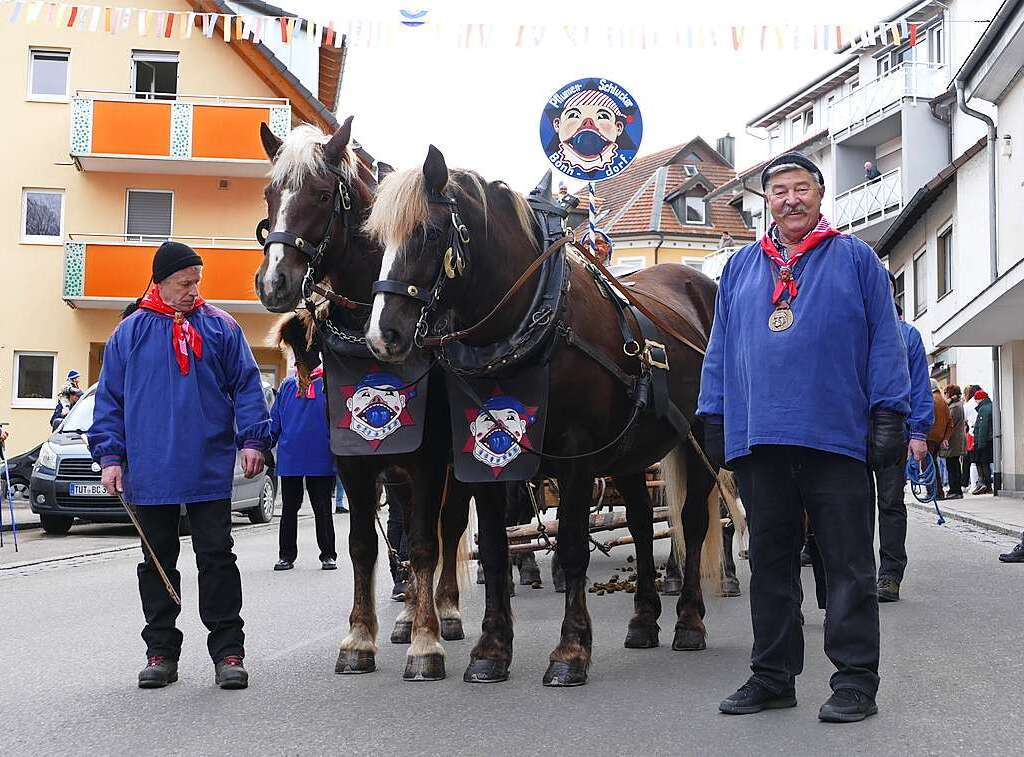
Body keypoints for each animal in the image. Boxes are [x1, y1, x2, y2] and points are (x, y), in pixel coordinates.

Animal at [253, 119, 468, 680]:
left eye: (321, 194)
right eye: (269, 193)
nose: (274, 282)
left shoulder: (429, 461)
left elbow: (426, 542)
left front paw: (427, 642)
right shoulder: (355, 463)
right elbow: (364, 545)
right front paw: (360, 637)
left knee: (448, 527)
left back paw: (445, 610)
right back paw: (408, 614)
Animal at [364, 146, 724, 688]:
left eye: (426, 233)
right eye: (376, 240)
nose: (382, 335)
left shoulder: (577, 458)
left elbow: (573, 546)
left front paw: (571, 650)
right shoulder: (487, 460)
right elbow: (495, 550)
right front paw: (491, 649)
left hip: (697, 440)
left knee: (693, 522)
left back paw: (689, 621)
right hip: (630, 450)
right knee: (642, 523)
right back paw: (643, 619)